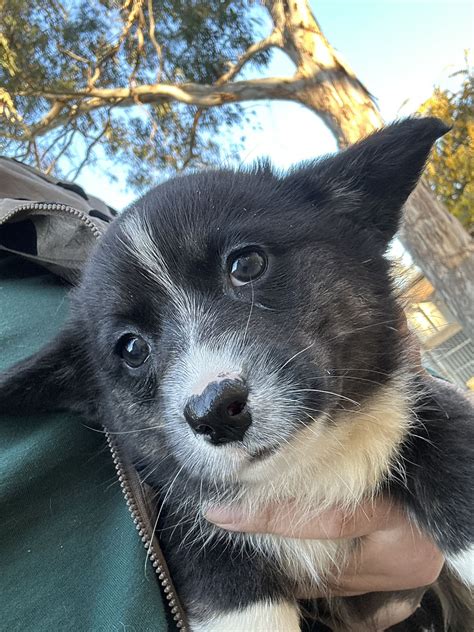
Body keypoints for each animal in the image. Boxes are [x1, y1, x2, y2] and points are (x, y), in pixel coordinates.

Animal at [0, 117, 474, 628]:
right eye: (131, 348)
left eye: (246, 263)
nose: (215, 413)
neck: (304, 471)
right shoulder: (206, 553)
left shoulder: (420, 410)